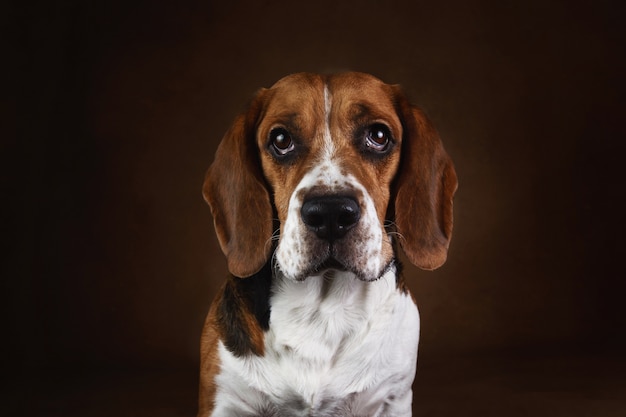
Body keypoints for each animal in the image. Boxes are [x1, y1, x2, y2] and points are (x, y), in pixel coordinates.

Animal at [201, 73, 458, 414]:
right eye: (281, 140)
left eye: (378, 135)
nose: (331, 212)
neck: (322, 309)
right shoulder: (224, 402)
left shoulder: (395, 398)